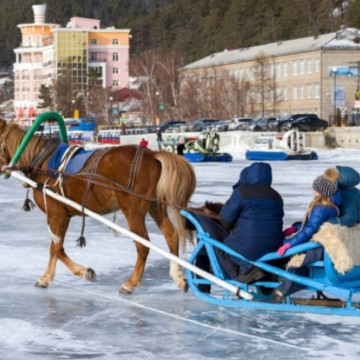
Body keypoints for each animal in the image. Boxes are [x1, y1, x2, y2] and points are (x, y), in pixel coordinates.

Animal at [0, 119, 197, 294]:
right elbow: (56, 249)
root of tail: (152, 155)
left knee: (143, 245)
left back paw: (131, 283)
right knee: (171, 235)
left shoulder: (56, 214)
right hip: (155, 206)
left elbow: (56, 248)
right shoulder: (62, 215)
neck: (41, 161)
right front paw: (61, 275)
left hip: (133, 211)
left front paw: (66, 275)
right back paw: (178, 276)